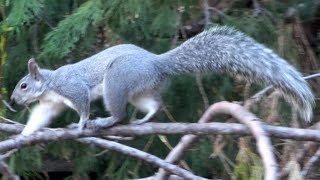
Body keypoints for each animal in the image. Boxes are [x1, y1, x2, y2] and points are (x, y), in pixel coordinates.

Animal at [10, 25, 316, 135]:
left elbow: (83, 105)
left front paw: (82, 123)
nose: (11, 103)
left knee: (120, 112)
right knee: (153, 104)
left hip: (117, 80)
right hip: (139, 90)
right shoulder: (51, 102)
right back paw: (146, 118)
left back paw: (106, 121)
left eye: (23, 85)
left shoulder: (72, 88)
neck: (49, 84)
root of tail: (157, 63)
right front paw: (26, 133)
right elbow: (40, 116)